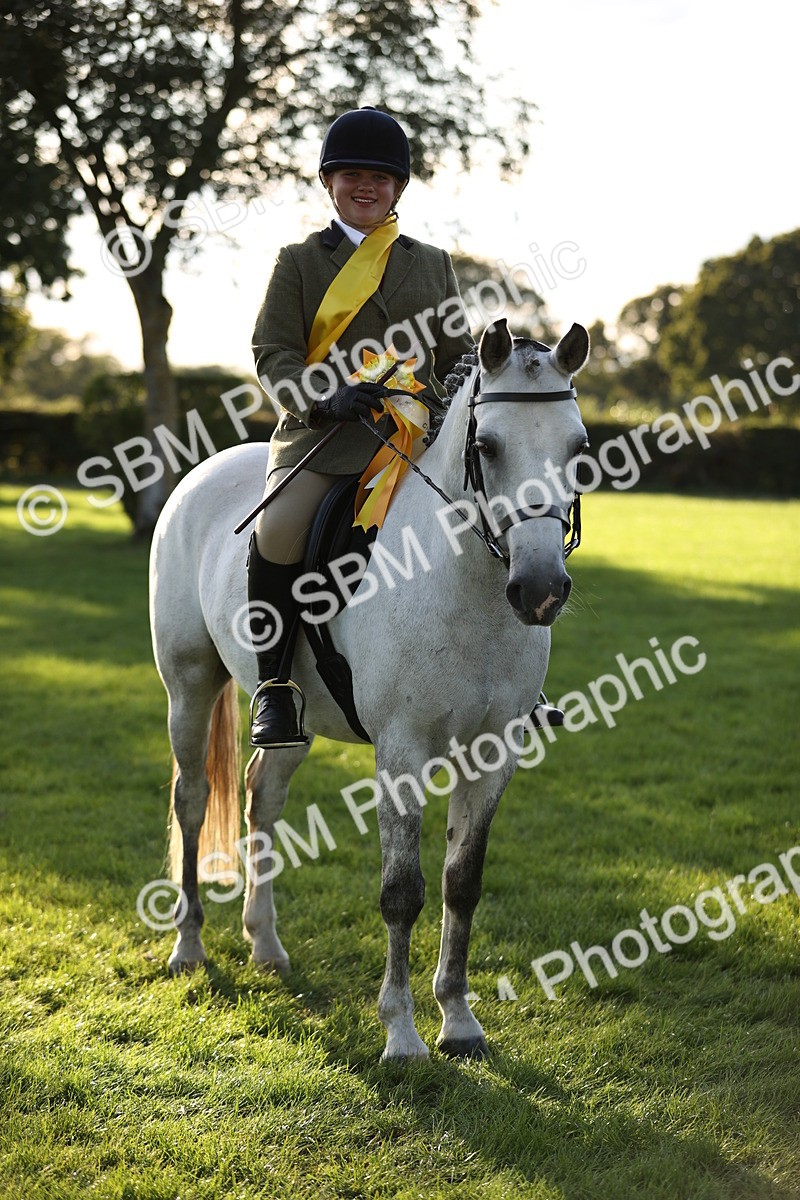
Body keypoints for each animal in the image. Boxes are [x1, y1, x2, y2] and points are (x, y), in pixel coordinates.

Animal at [149, 317, 589, 1060]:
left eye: (579, 448)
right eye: (488, 446)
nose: (540, 591)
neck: (463, 586)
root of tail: (203, 473)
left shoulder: (493, 752)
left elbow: (461, 883)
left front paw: (459, 1021)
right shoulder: (402, 753)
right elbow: (401, 891)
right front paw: (403, 1034)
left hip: (293, 716)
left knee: (262, 795)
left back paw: (266, 945)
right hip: (190, 684)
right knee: (193, 800)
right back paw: (189, 947)